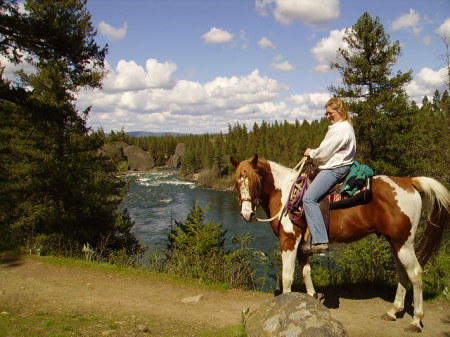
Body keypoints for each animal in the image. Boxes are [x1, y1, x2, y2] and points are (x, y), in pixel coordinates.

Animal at [232, 154, 450, 332]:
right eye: (236, 183)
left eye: (254, 181)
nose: (246, 214)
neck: (286, 194)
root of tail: (408, 181)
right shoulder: (303, 246)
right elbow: (306, 272)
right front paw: (311, 299)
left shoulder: (289, 240)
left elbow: (287, 277)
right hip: (396, 244)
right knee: (402, 273)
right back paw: (393, 311)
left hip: (404, 244)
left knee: (416, 274)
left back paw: (416, 321)